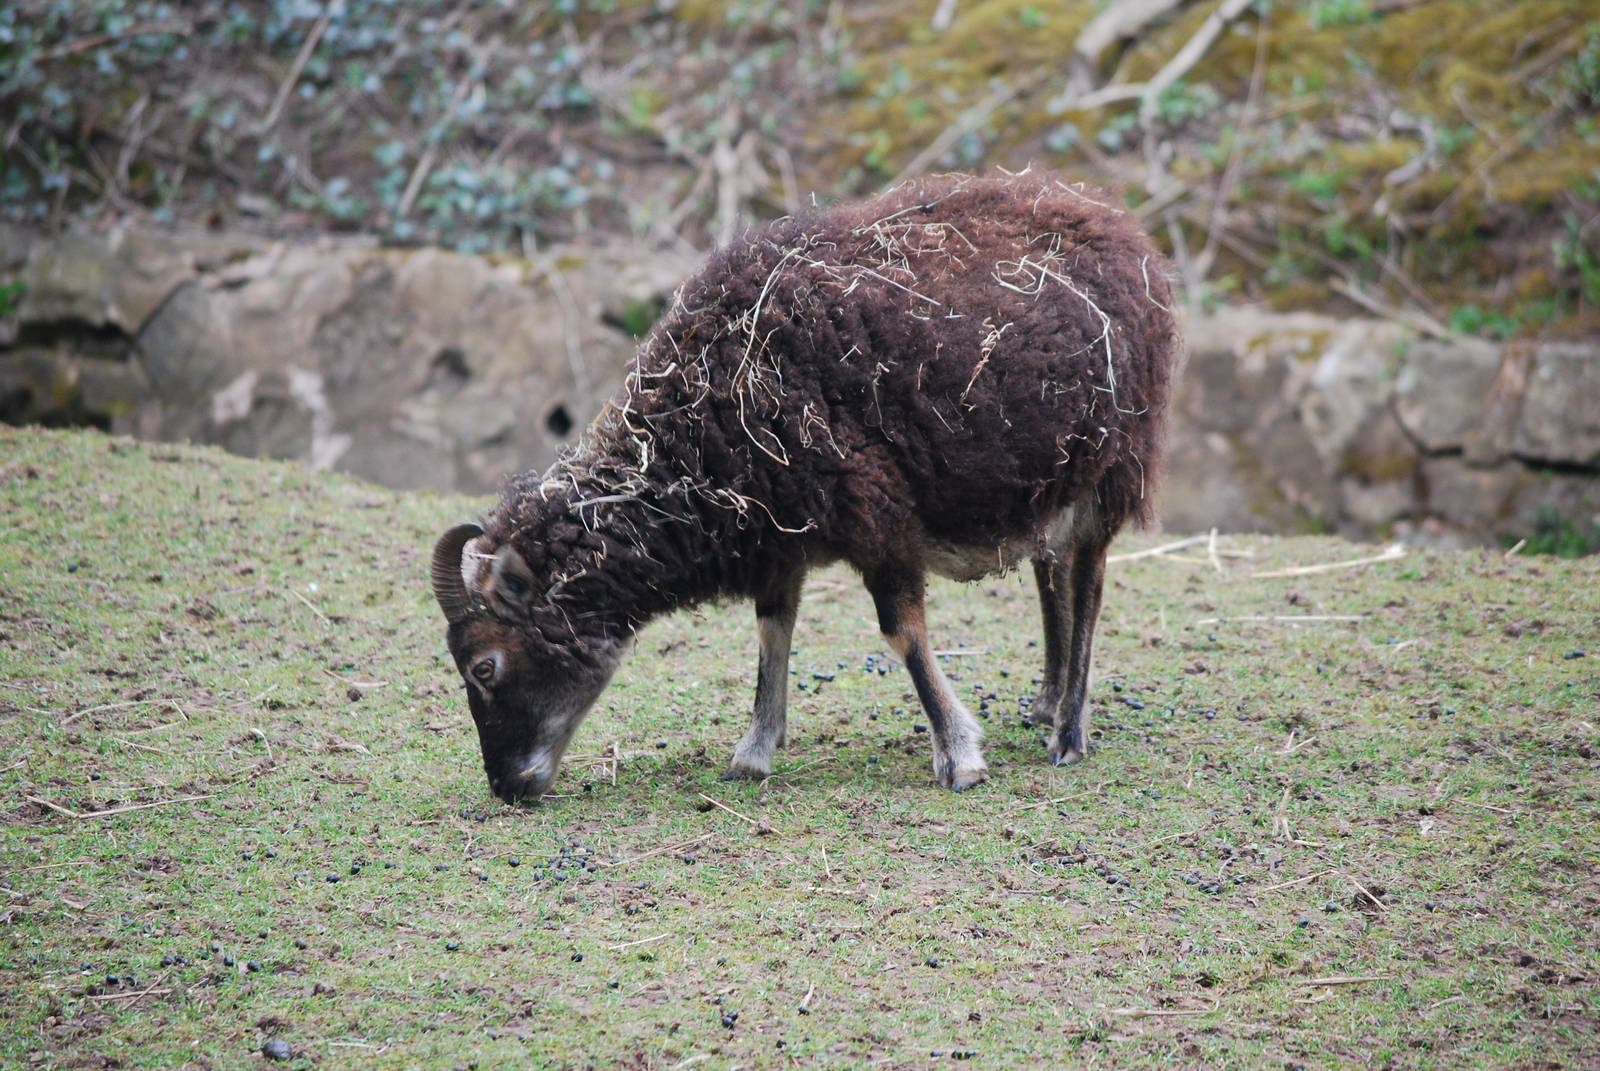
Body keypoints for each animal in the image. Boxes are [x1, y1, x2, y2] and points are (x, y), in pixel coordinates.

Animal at [429, 169, 1181, 803]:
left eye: (485, 667)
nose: (506, 785)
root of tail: (1115, 220)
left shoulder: (878, 517)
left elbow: (901, 633)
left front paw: (959, 757)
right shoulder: (777, 529)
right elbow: (772, 630)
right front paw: (754, 752)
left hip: (1113, 465)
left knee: (1087, 579)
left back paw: (1069, 733)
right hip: (1048, 480)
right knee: (1051, 574)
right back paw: (1046, 702)